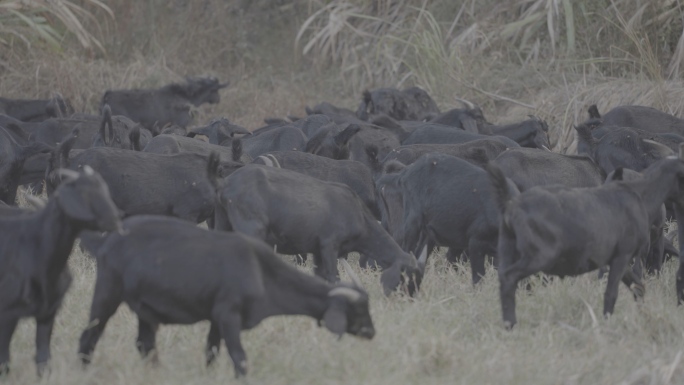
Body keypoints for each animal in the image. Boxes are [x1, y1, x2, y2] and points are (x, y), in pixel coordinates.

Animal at [0, 166, 121, 376]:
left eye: (104, 189)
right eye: (85, 194)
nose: (115, 220)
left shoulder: (48, 313)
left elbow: (43, 360)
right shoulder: (8, 314)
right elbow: (5, 361)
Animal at [78, 214, 376, 376]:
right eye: (360, 309)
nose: (372, 333)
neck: (260, 270)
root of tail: (106, 240)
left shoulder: (215, 320)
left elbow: (211, 354)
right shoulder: (229, 316)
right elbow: (239, 358)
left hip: (146, 309)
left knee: (145, 344)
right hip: (107, 293)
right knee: (89, 336)